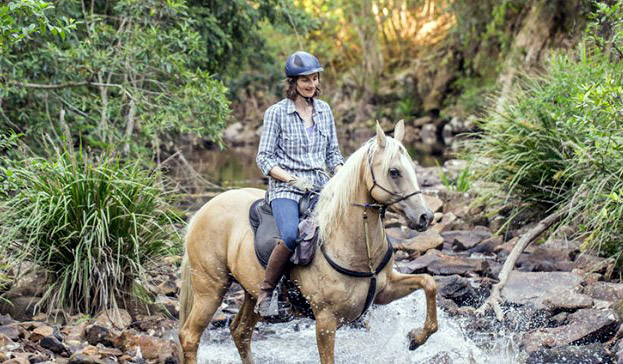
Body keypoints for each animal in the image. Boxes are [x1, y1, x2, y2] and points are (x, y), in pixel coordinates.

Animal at [178, 121, 436, 364]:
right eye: (394, 172)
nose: (426, 217)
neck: (355, 248)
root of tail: (201, 212)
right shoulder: (325, 320)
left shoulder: (385, 290)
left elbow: (428, 282)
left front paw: (416, 337)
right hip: (211, 289)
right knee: (190, 336)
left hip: (251, 292)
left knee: (240, 332)